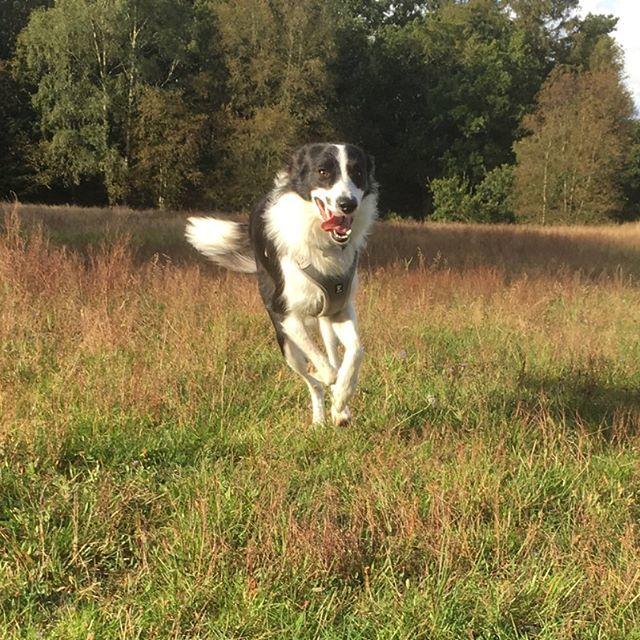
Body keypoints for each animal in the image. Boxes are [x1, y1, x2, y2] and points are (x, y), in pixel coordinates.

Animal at [185, 144, 378, 424]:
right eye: (323, 171)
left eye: (358, 172)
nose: (348, 204)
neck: (323, 243)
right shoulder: (286, 316)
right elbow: (325, 372)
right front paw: (328, 382)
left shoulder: (341, 308)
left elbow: (355, 353)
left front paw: (343, 397)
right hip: (285, 342)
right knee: (313, 382)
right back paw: (319, 417)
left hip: (327, 319)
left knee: (333, 354)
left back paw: (339, 409)